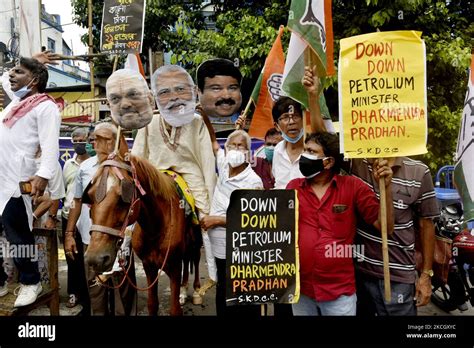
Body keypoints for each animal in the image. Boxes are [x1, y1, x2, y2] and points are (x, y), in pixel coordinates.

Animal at [84, 138, 201, 316]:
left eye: (122, 198)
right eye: (90, 196)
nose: (95, 258)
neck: (156, 228)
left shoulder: (174, 267)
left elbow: (175, 309)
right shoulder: (148, 266)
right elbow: (152, 304)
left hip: (196, 241)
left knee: (195, 257)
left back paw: (196, 290)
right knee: (187, 259)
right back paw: (183, 290)